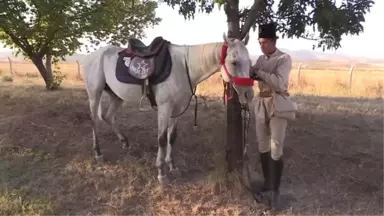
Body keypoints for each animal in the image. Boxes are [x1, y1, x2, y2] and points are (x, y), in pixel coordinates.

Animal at [82, 33, 254, 185]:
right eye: (234, 62)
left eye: (250, 62)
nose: (249, 94)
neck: (183, 67)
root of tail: (91, 56)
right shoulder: (165, 107)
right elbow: (162, 139)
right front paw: (161, 173)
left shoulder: (177, 108)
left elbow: (172, 137)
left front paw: (172, 166)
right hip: (94, 94)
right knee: (94, 120)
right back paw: (98, 153)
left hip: (116, 96)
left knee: (108, 116)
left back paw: (124, 142)